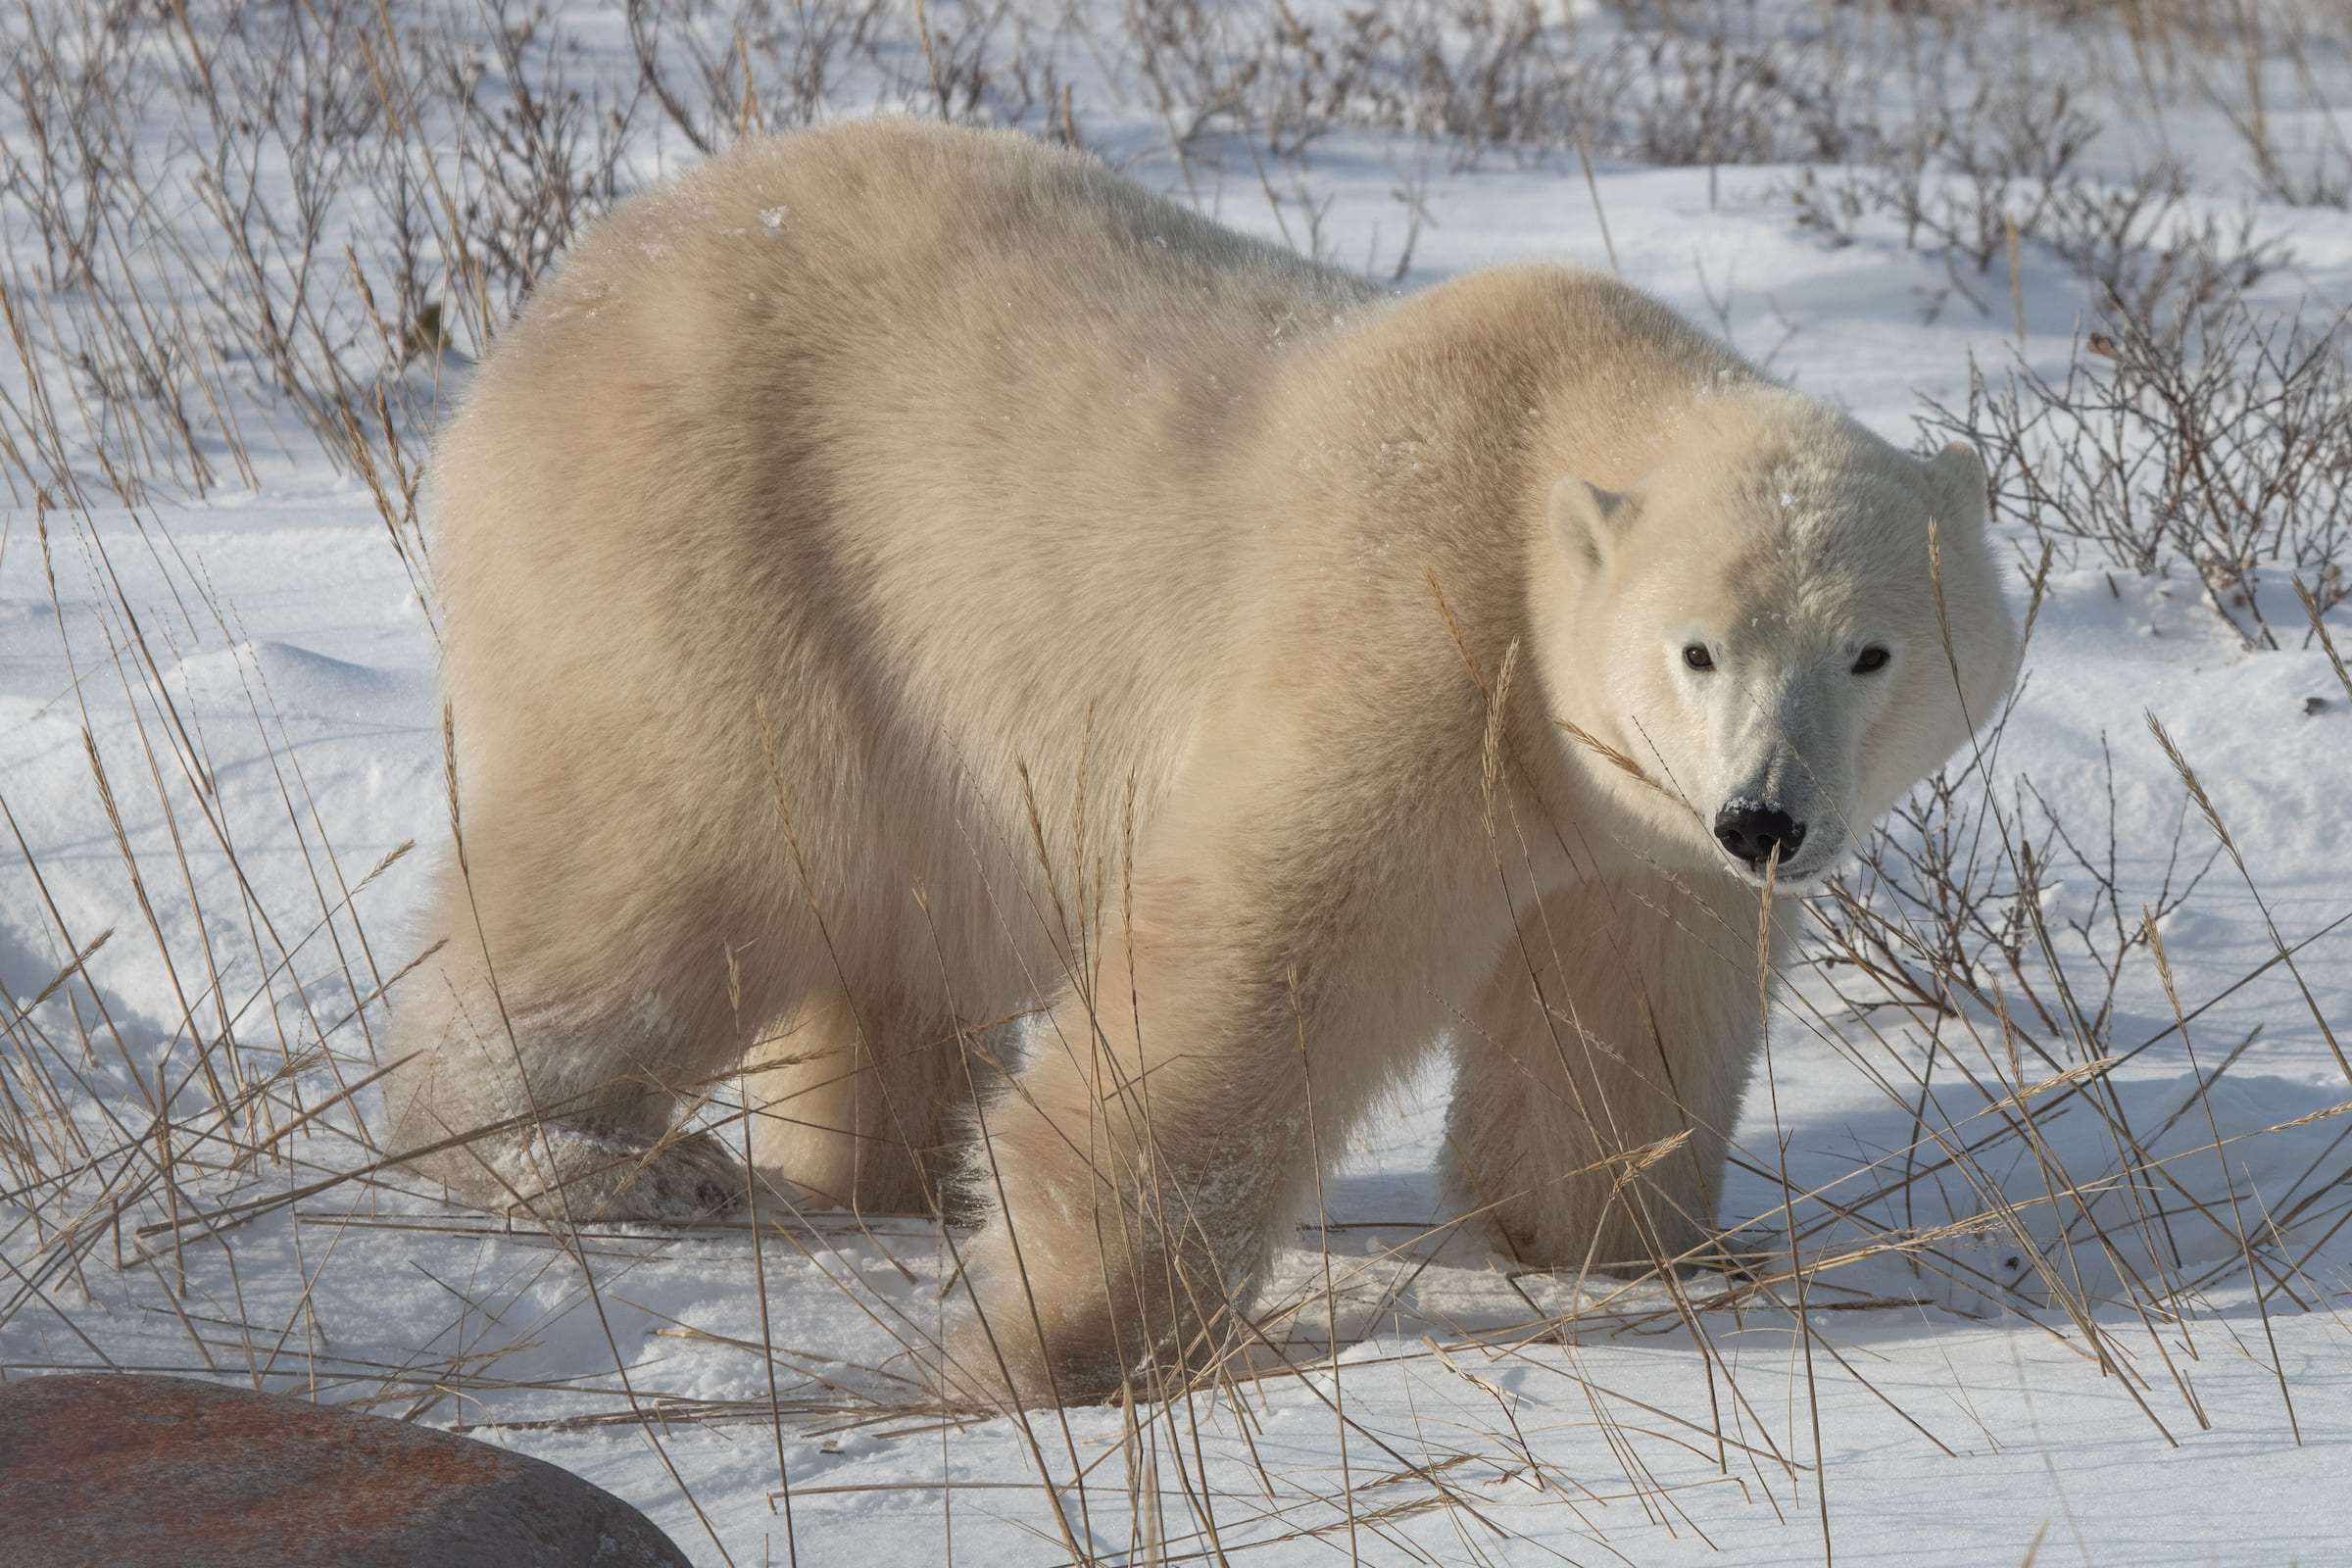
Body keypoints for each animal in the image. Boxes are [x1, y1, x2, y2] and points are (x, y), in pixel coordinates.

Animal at [381, 117, 2018, 1407]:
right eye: (1698, 649)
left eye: (1871, 651)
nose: (1768, 819)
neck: (1542, 426)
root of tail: (561, 298)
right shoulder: (1418, 631)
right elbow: (1247, 968)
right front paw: (1058, 1340)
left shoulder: (1637, 833)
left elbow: (1616, 1032)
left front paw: (1638, 1248)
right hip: (723, 549)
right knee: (661, 864)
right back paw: (604, 1158)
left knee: (897, 938)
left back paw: (871, 1170)